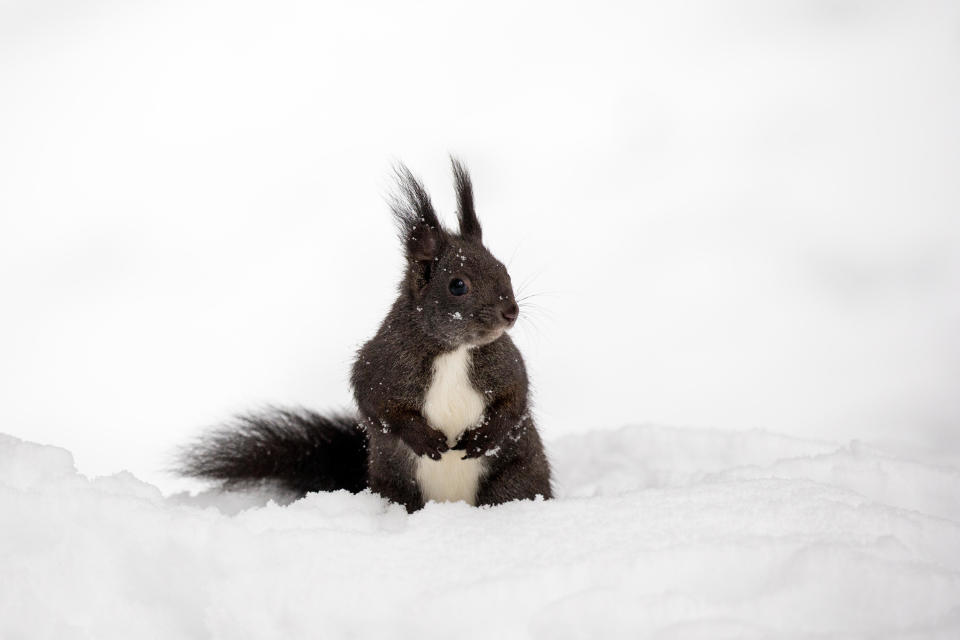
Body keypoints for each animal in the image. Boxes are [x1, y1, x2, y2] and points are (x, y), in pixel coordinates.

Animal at [179, 161, 552, 516]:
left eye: (503, 269)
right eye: (457, 285)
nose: (511, 312)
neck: (454, 351)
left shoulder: (505, 362)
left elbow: (515, 396)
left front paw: (485, 436)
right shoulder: (382, 362)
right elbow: (375, 403)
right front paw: (423, 439)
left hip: (515, 478)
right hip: (395, 486)